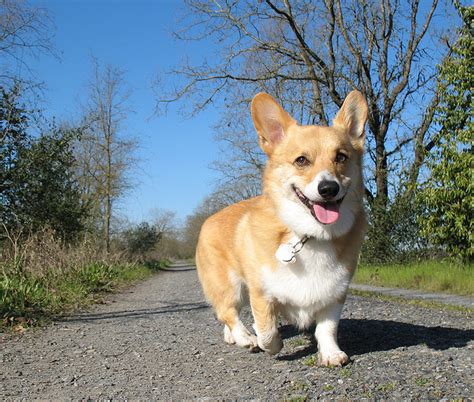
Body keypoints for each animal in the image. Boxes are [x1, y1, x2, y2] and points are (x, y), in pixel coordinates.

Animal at [194, 89, 368, 366]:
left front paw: (331, 354)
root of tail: (209, 219)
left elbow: (327, 328)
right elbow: (267, 331)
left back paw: (232, 337)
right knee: (228, 313)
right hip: (229, 286)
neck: (310, 235)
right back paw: (244, 338)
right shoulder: (261, 294)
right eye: (301, 160)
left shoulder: (334, 295)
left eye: (341, 157)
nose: (328, 188)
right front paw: (268, 343)